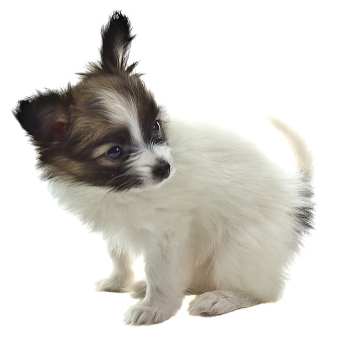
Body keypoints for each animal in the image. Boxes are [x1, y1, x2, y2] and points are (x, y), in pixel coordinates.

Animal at [14, 11, 314, 326]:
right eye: (115, 151)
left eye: (155, 127)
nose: (165, 168)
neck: (120, 189)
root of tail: (295, 197)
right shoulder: (115, 225)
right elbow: (118, 254)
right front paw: (118, 282)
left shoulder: (168, 233)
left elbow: (160, 273)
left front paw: (154, 308)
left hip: (240, 247)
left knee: (263, 291)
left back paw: (221, 298)